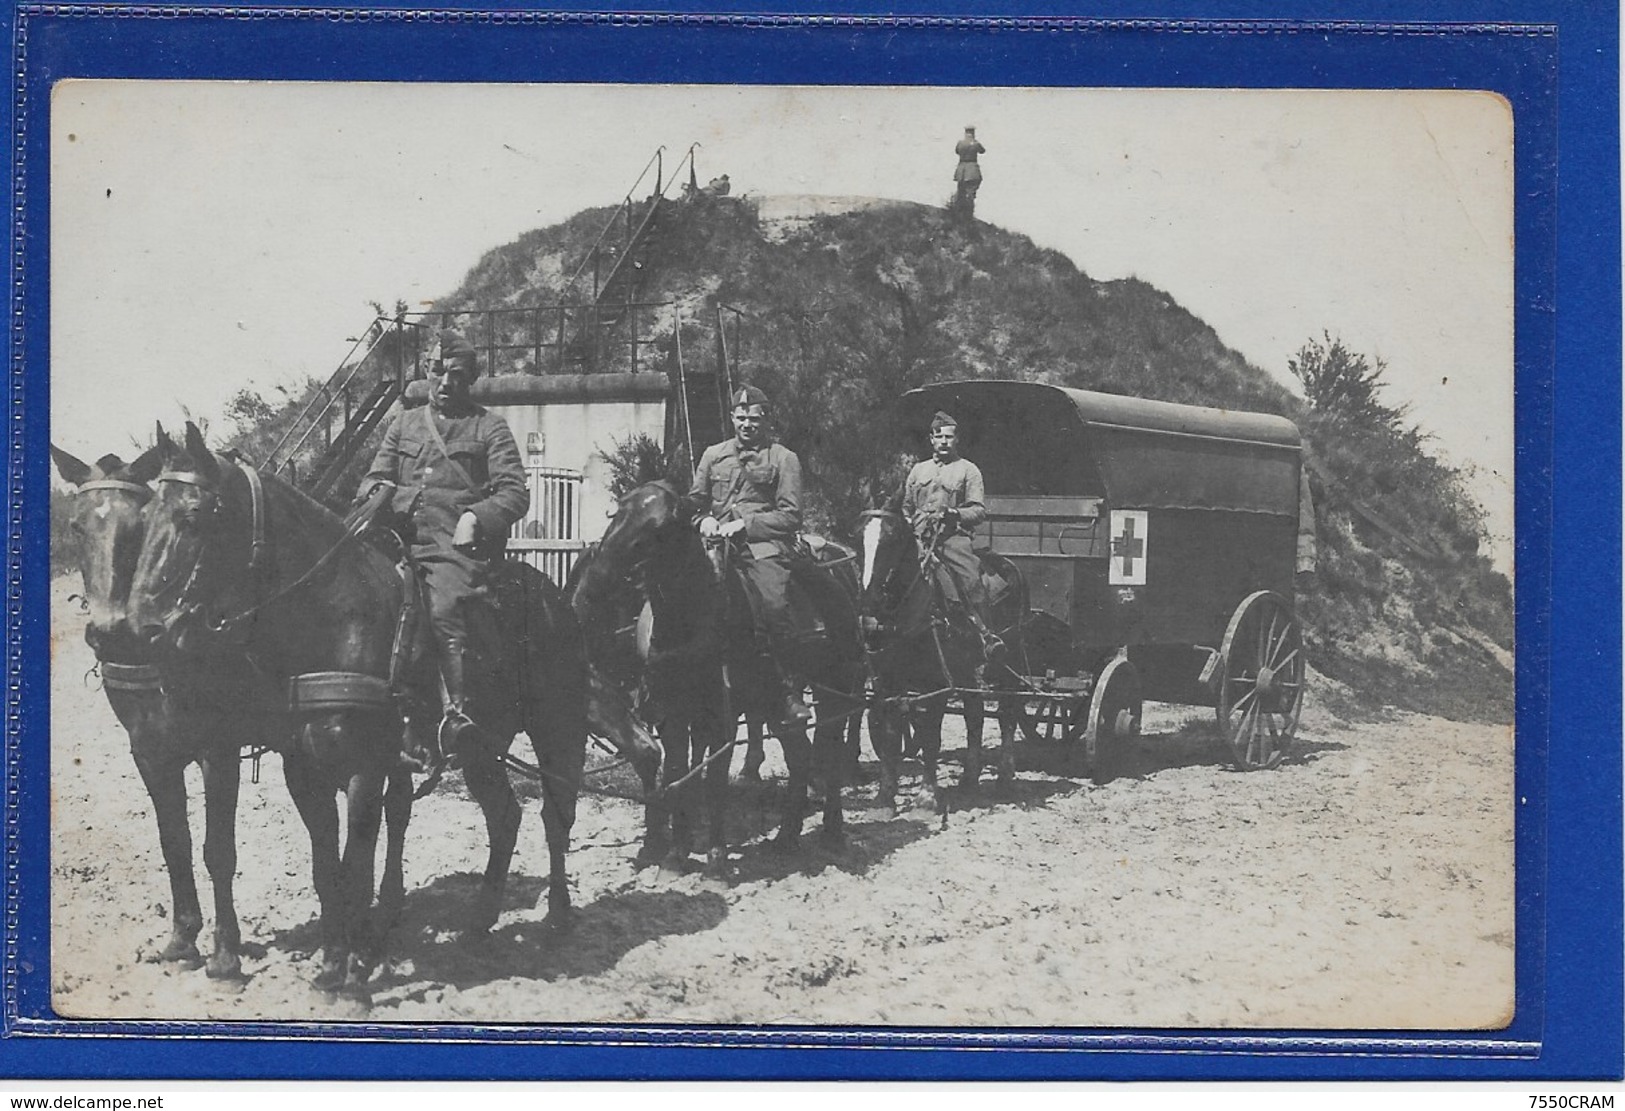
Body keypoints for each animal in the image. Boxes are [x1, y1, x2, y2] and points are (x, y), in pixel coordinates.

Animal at [50, 441, 277, 981]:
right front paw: (182, 939)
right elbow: (173, 841)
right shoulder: (149, 753)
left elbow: (217, 849)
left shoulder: (218, 748)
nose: (109, 632)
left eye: (138, 527)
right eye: (77, 526)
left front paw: (225, 951)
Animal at [128, 422, 585, 994]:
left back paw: (558, 917)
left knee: (556, 816)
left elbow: (354, 866)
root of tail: (551, 594)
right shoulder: (304, 771)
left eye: (193, 516)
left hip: (558, 731)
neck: (334, 618)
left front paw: (352, 966)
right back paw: (480, 924)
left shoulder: (365, 768)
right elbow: (327, 869)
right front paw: (333, 960)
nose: (141, 627)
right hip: (483, 749)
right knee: (505, 815)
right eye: (145, 517)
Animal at [578, 480, 871, 857]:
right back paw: (787, 836)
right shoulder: (673, 712)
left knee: (831, 752)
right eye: (616, 515)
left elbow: (713, 776)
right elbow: (676, 769)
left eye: (659, 527)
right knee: (799, 755)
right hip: (778, 703)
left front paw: (712, 850)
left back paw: (832, 830)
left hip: (835, 688)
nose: (595, 583)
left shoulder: (722, 715)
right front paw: (677, 848)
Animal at [858, 506, 1020, 812]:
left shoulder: (936, 684)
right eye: (857, 537)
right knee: (975, 714)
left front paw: (926, 797)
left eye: (892, 539)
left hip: (1006, 666)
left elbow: (931, 736)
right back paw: (969, 778)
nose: (870, 602)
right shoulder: (888, 681)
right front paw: (885, 797)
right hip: (967, 668)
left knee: (1007, 714)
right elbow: (890, 734)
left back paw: (1005, 778)